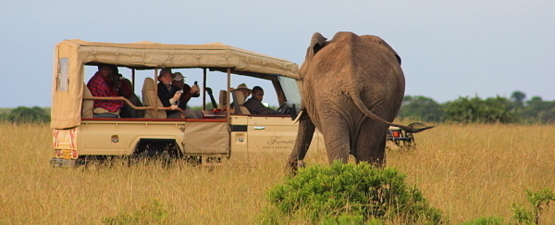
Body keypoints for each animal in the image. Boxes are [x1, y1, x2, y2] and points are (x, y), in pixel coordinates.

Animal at [288, 31, 432, 171]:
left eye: (300, 77)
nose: (300, 165)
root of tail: (351, 80)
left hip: (348, 100)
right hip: (365, 99)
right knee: (360, 150)